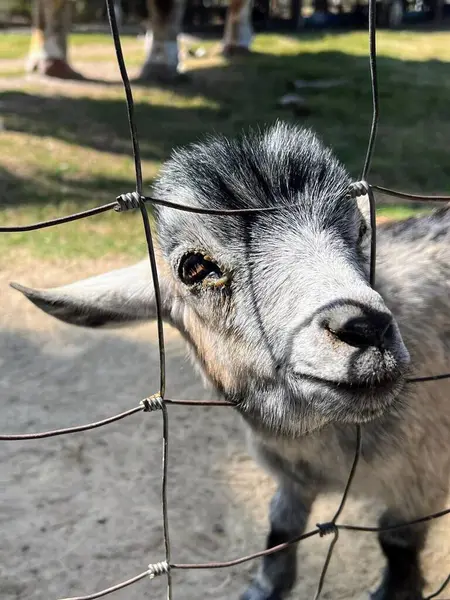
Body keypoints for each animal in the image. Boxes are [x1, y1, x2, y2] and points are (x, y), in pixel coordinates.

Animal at [11, 123, 450, 600]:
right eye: (194, 267)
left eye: (360, 232)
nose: (365, 328)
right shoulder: (293, 474)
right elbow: (279, 527)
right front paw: (266, 587)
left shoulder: (423, 478)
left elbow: (396, 542)